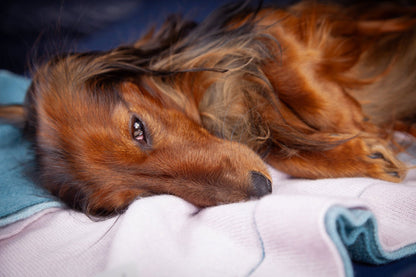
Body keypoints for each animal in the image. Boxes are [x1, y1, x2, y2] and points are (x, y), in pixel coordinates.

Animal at [0, 0, 416, 216]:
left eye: (138, 128)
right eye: (140, 198)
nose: (261, 189)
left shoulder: (275, 28)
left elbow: (299, 83)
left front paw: (359, 132)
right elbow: (281, 151)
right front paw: (358, 153)